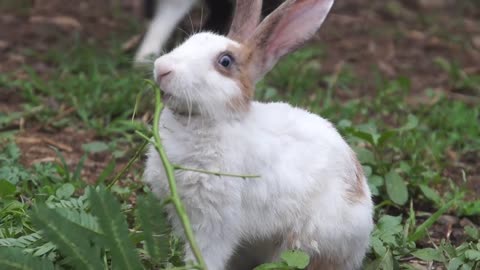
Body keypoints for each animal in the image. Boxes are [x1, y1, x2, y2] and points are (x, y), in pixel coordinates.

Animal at [142, 1, 376, 268]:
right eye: (191, 39)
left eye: (225, 61)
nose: (162, 68)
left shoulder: (215, 224)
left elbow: (206, 257)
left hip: (306, 242)